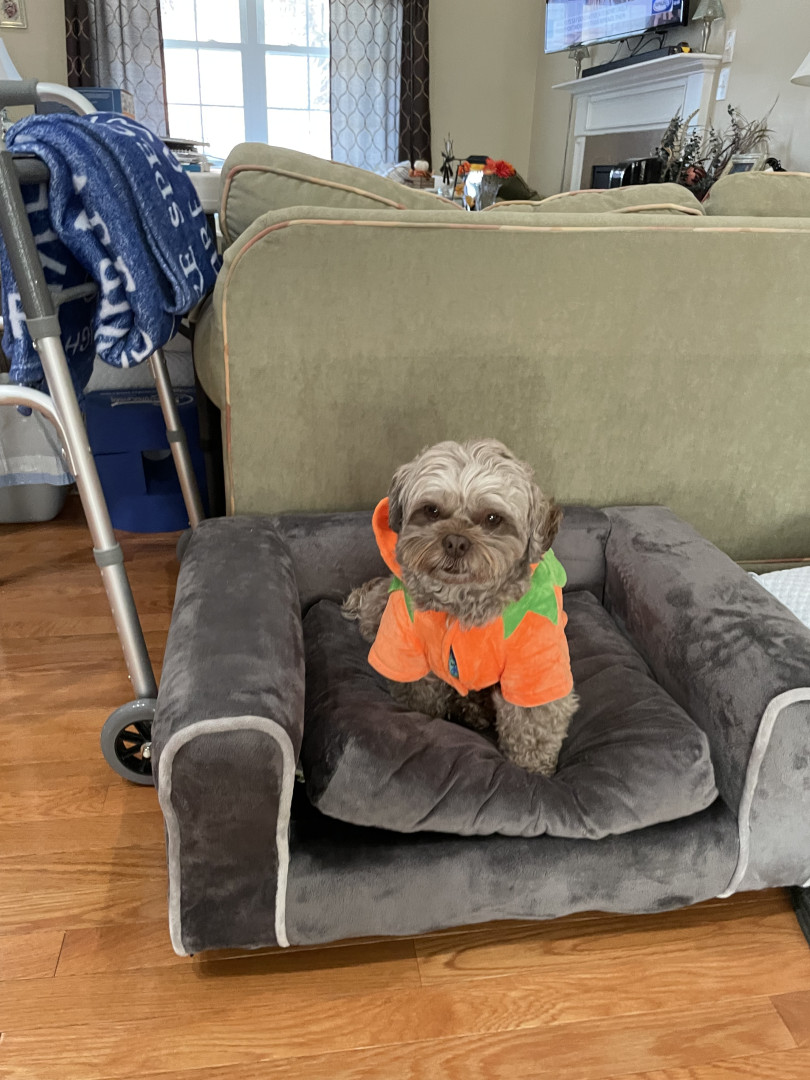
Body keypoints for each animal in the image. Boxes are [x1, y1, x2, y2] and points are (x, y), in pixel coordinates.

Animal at [343, 438, 578, 774]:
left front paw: (531, 773)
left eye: (493, 519)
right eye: (432, 510)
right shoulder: (407, 651)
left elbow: (532, 725)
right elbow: (419, 698)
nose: (455, 541)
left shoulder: (535, 665)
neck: (463, 602)